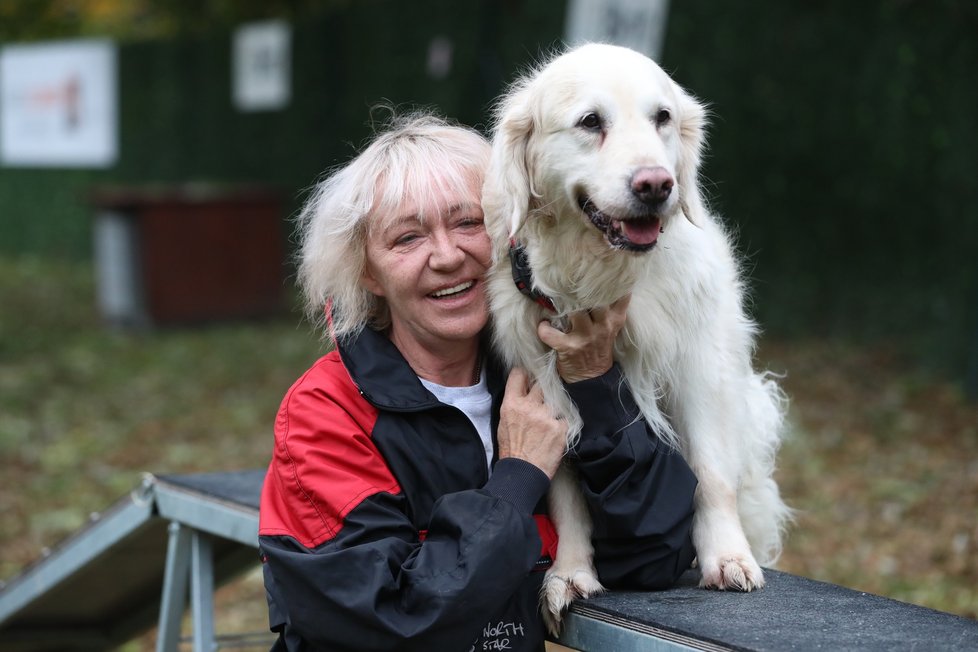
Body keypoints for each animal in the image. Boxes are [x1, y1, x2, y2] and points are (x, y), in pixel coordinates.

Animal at [482, 42, 792, 632]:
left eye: (662, 118)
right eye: (590, 122)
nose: (656, 185)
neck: (603, 277)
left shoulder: (700, 368)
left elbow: (710, 473)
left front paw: (726, 557)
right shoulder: (546, 388)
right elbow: (565, 495)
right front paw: (569, 573)